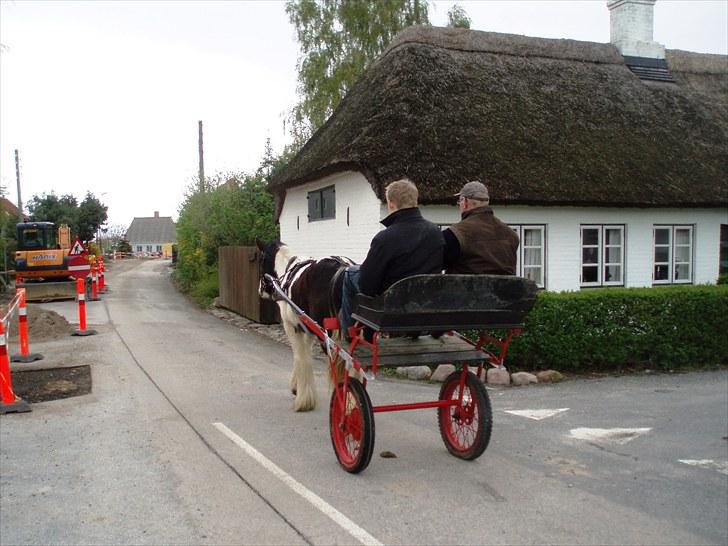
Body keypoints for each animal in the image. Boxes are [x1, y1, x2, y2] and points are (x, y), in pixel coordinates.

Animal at [256, 240, 356, 410]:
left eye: (261, 262)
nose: (260, 290)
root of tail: (343, 267)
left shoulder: (291, 327)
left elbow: (300, 356)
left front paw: (303, 399)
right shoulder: (308, 330)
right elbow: (306, 356)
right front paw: (298, 387)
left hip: (329, 338)